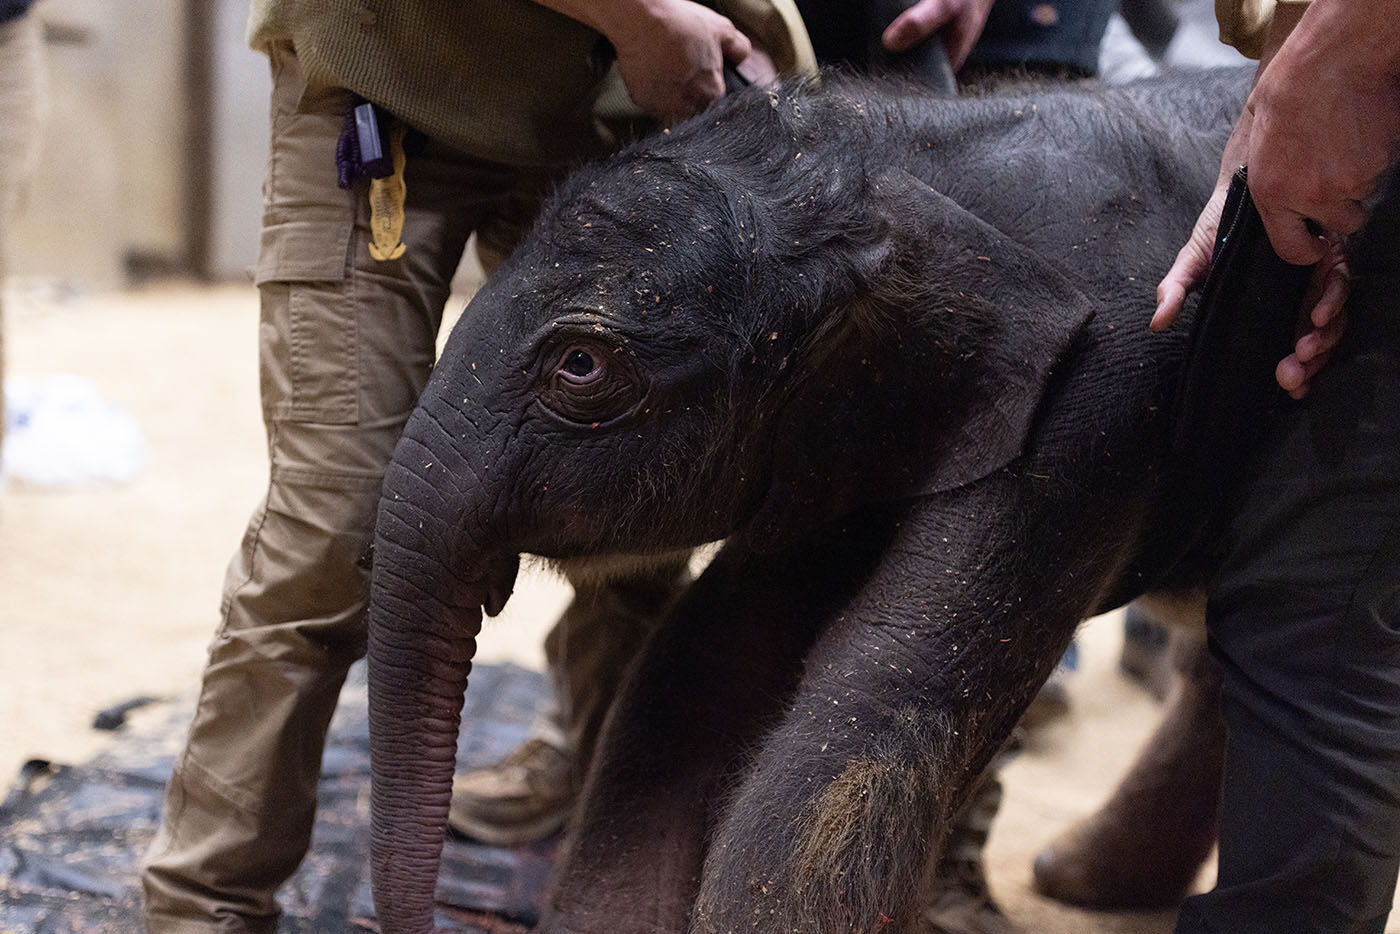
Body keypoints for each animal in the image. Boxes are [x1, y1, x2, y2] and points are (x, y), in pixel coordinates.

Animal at [364, 65, 1281, 932]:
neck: (899, 168)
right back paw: (1077, 881)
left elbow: (863, 719)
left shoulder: (1102, 408)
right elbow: (694, 669)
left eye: (581, 367)